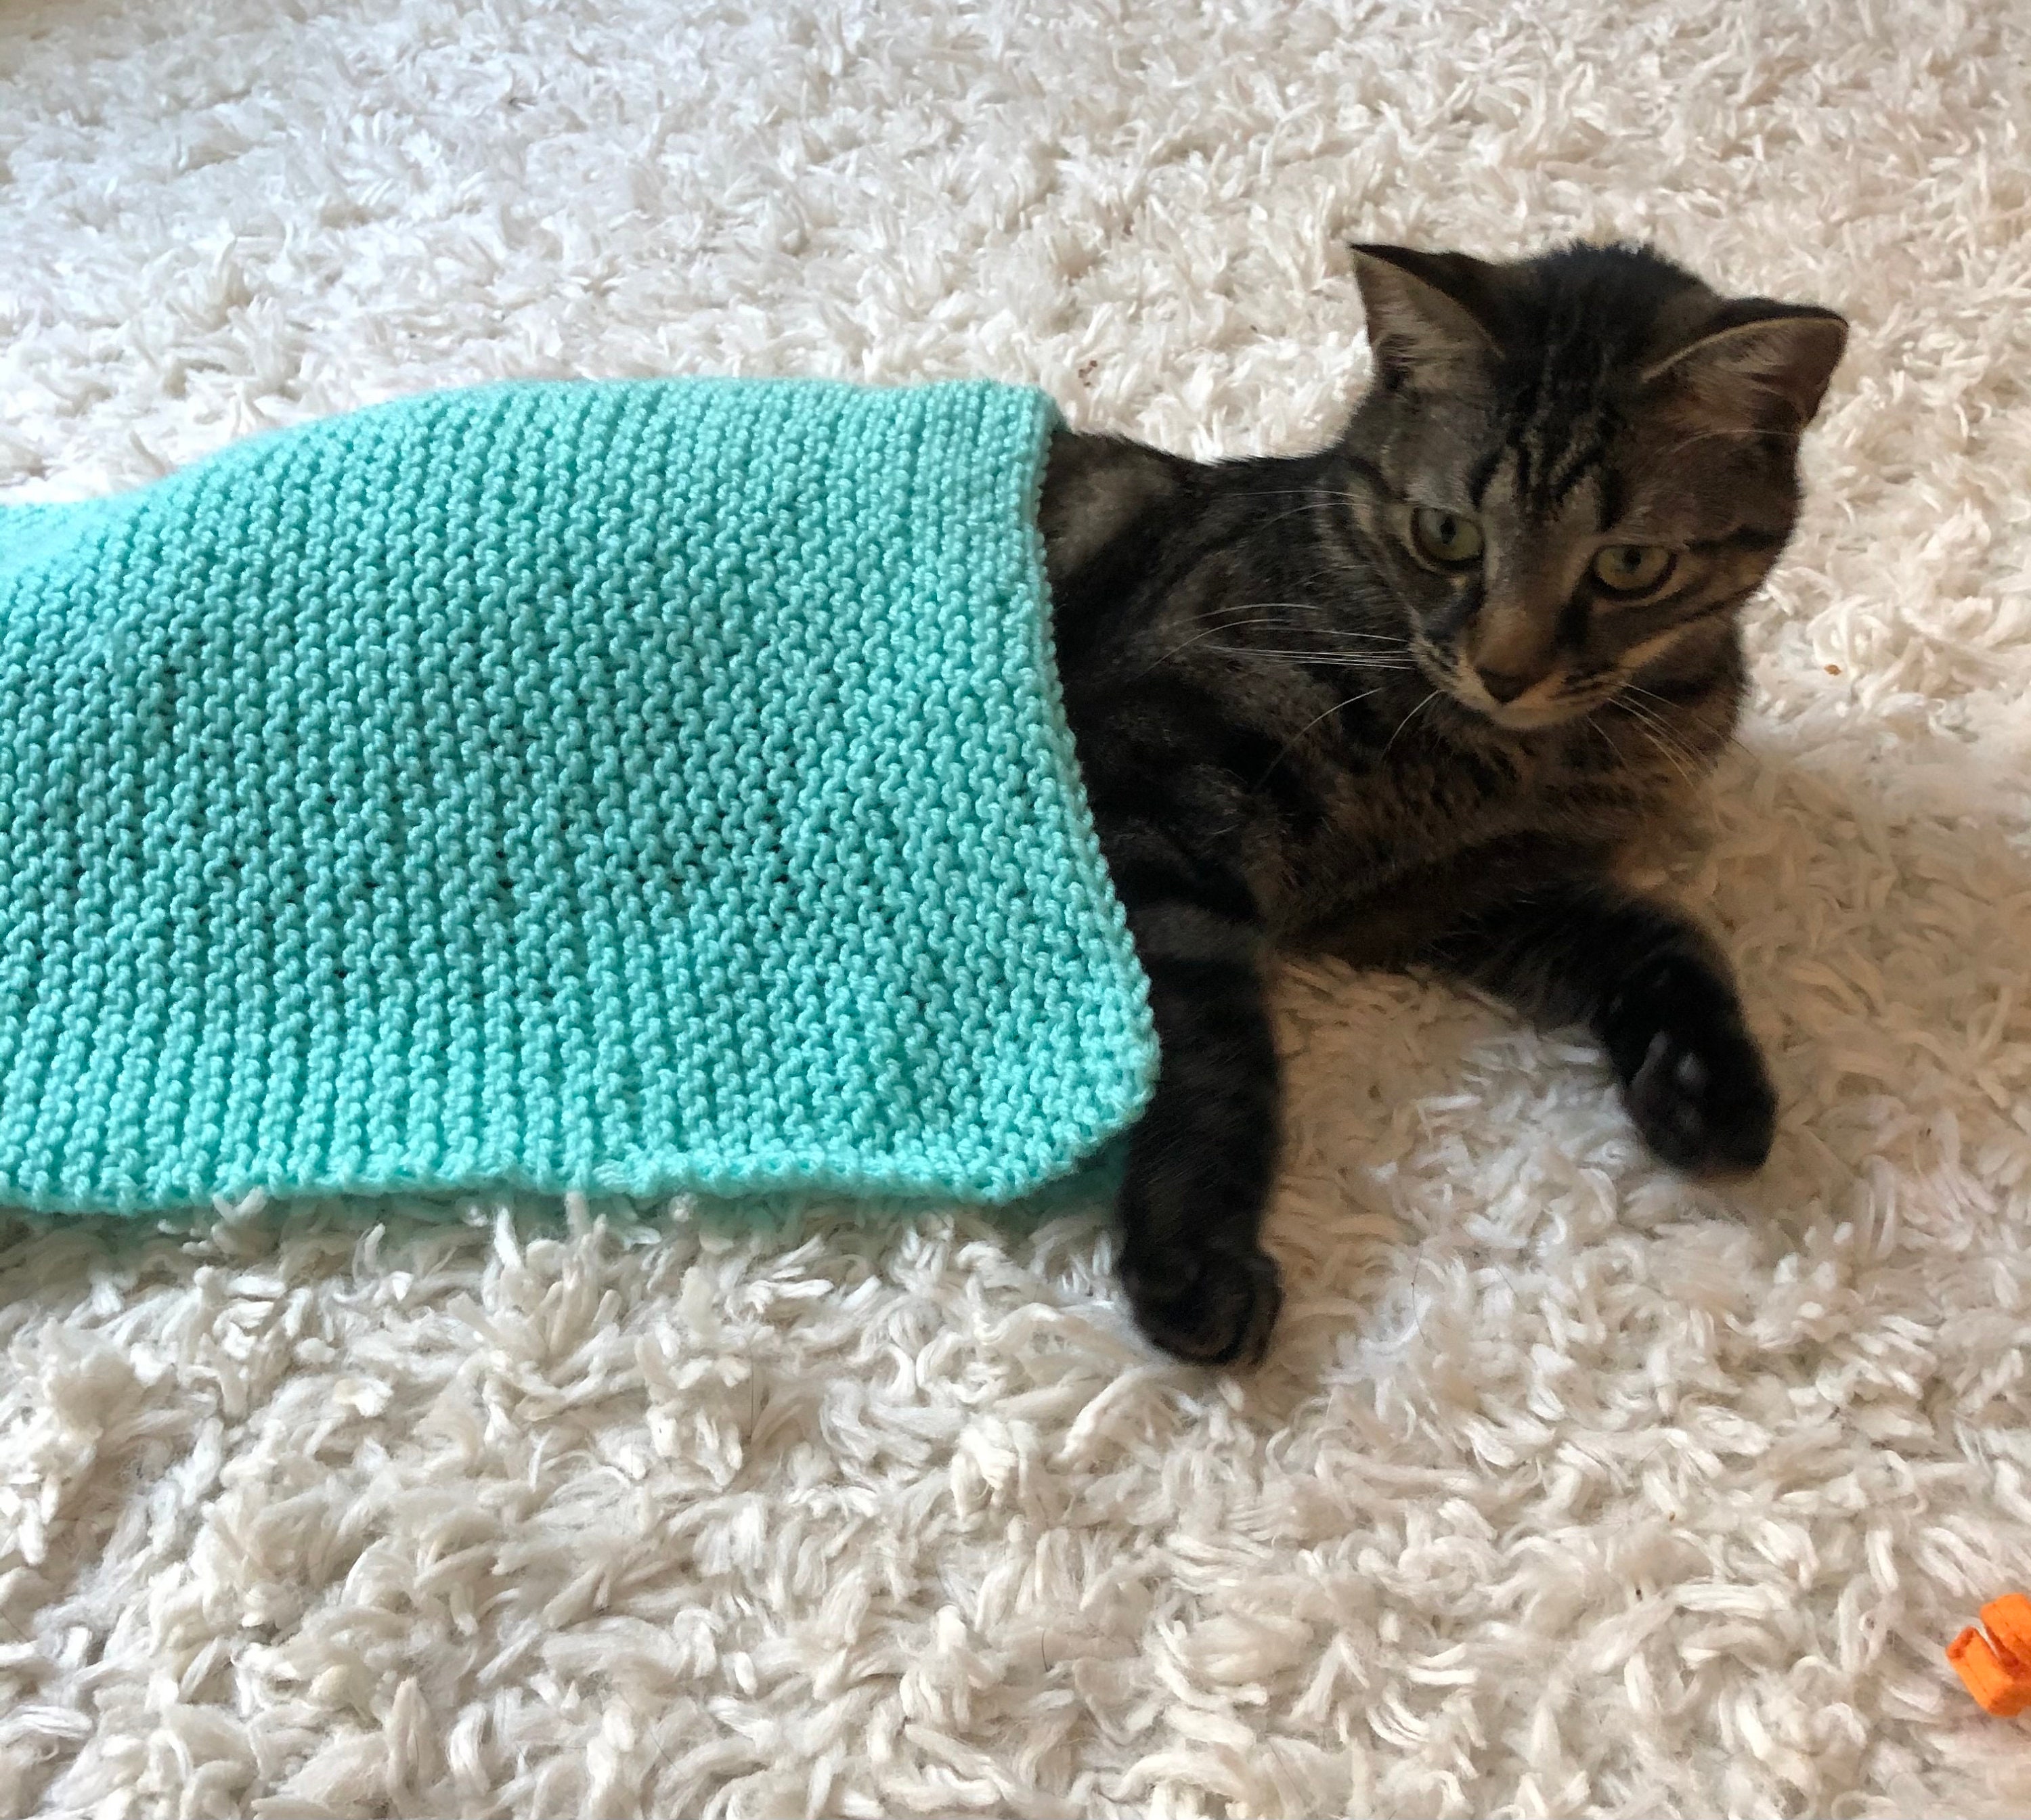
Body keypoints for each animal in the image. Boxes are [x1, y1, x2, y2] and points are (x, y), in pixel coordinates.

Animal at [1040, 240, 1847, 1366]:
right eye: (1447, 535)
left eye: (1630, 564)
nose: (1505, 672)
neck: (1515, 758)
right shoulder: (1144, 783)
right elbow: (1210, 1042)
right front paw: (1194, 1254)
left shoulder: (1462, 893)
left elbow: (1662, 929)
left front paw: (1704, 1077)